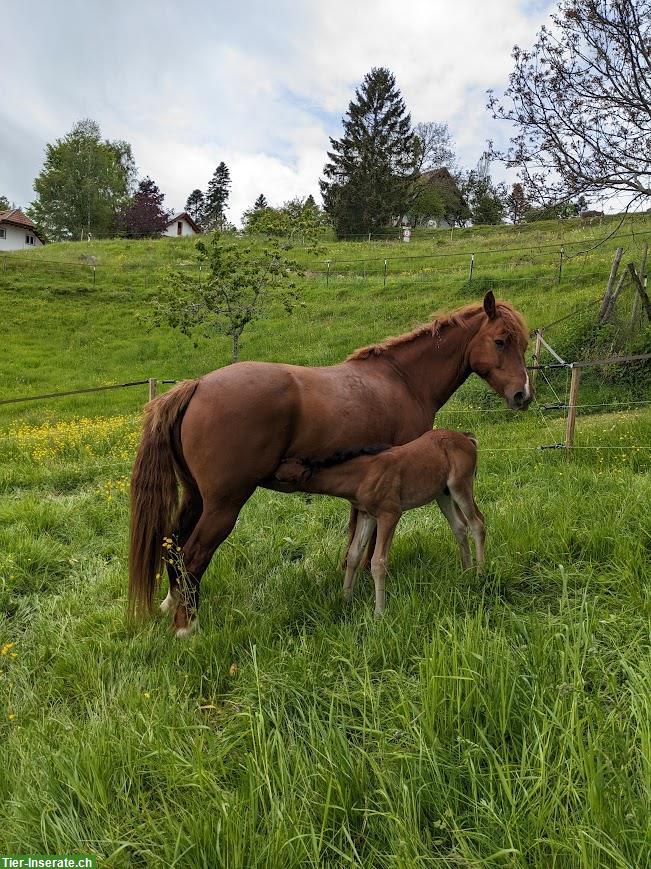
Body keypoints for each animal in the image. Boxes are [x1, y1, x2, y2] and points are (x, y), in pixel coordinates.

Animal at [272, 430, 484, 612]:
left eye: (282, 478)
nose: (268, 474)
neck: (362, 475)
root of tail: (467, 438)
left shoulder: (389, 513)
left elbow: (378, 561)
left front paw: (379, 613)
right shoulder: (367, 515)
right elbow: (354, 554)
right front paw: (345, 599)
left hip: (460, 485)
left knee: (477, 524)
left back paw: (480, 573)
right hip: (443, 494)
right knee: (459, 527)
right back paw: (466, 571)